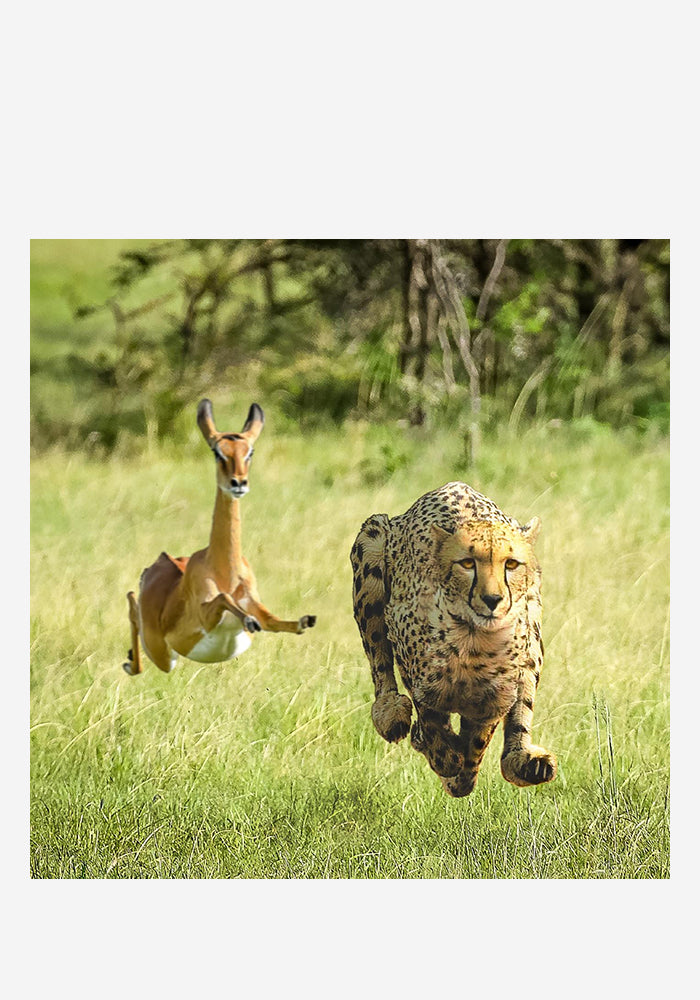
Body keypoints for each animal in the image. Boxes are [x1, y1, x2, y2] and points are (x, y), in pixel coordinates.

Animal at [122, 399, 316, 675]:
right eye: (217, 452)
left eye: (250, 451)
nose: (238, 483)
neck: (225, 573)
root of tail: (157, 563)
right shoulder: (207, 614)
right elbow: (225, 599)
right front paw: (249, 620)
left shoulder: (254, 602)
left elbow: (274, 620)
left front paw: (304, 620)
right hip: (162, 654)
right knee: (131, 602)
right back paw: (129, 663)